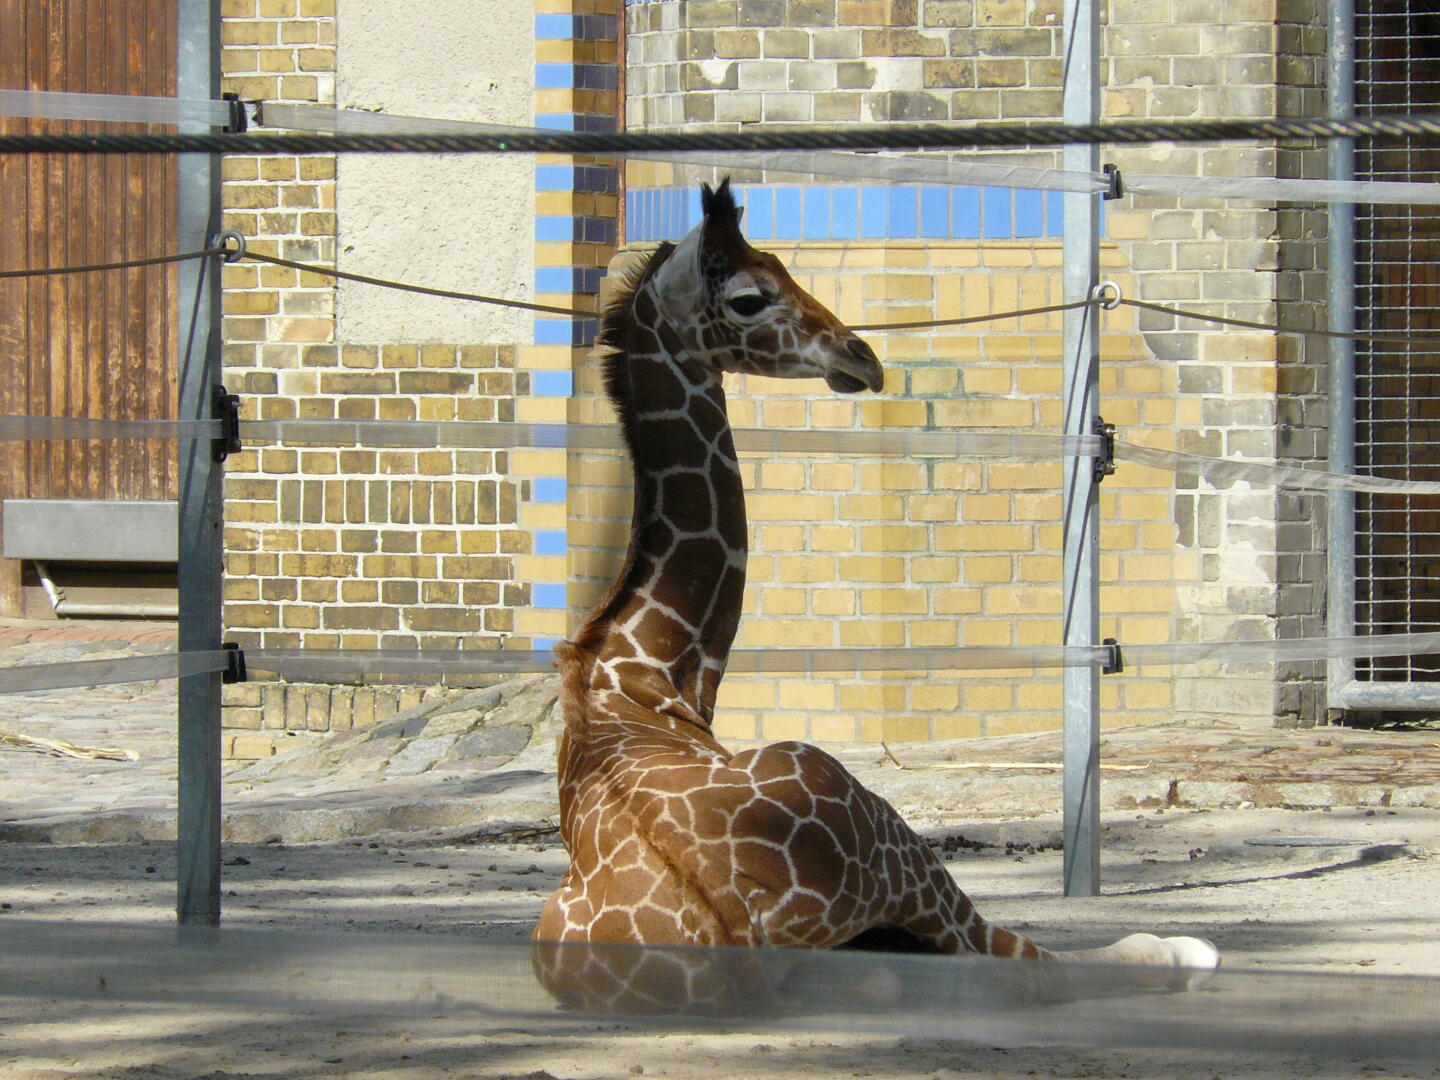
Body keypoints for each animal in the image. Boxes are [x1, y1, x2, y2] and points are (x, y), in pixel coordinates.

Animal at [531, 179, 1217, 1012]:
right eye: (751, 296)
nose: (862, 358)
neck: (645, 674)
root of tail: (733, 933)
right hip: (886, 833)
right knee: (1030, 959)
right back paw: (1183, 948)